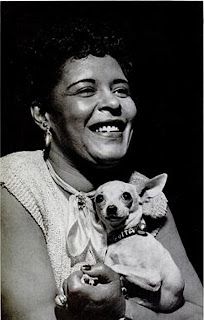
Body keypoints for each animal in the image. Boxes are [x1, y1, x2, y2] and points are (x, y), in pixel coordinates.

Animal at [94, 174, 185, 312]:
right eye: (99, 198)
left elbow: (116, 266)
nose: (111, 208)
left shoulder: (152, 277)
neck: (124, 236)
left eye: (126, 196)